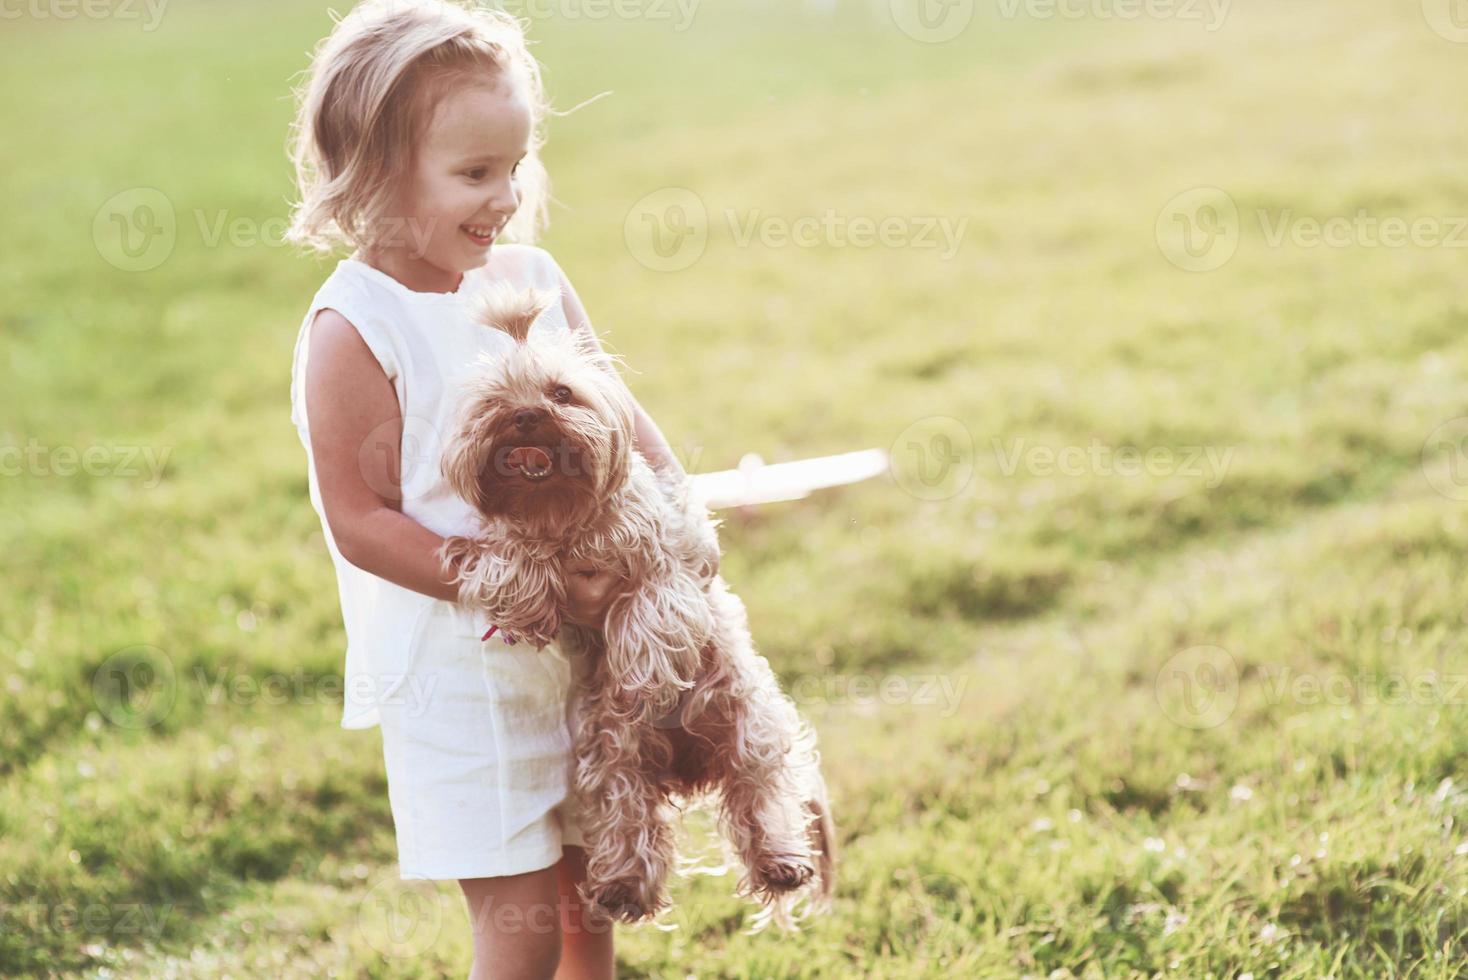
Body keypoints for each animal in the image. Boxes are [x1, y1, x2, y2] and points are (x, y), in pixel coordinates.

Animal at [434, 281, 839, 927]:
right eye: (496, 401)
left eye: (561, 393)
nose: (526, 415)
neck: (561, 515)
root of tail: (687, 764)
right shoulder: (507, 541)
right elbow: (507, 558)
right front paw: (527, 597)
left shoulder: (670, 558)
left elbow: (651, 606)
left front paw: (644, 671)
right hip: (611, 753)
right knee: (628, 816)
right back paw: (622, 886)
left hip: (745, 723)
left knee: (761, 790)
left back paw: (780, 860)